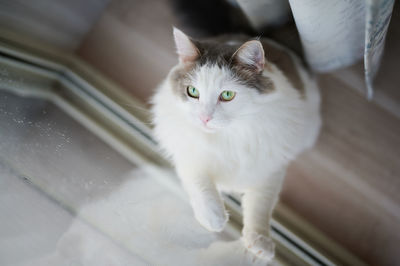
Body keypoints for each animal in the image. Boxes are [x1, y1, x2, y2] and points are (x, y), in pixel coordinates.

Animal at [150, 27, 322, 260]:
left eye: (227, 95)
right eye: (192, 92)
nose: (204, 118)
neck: (228, 137)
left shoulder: (269, 170)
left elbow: (260, 207)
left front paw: (259, 242)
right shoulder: (187, 153)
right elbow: (199, 182)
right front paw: (214, 218)